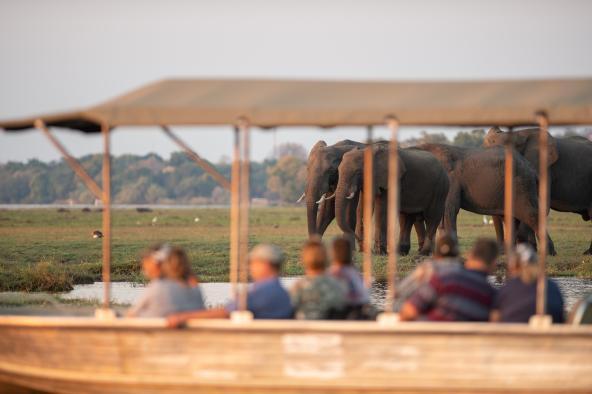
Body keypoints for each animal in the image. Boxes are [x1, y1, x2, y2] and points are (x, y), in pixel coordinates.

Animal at [414, 144, 556, 255]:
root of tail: (532, 169)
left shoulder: (450, 180)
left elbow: (449, 210)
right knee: (511, 218)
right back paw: (508, 253)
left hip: (521, 185)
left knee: (531, 215)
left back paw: (549, 253)